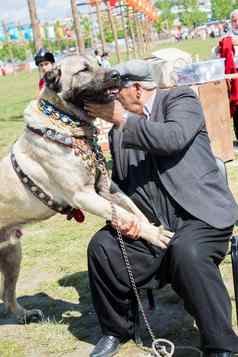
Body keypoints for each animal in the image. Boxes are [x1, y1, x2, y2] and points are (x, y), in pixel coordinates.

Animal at [0, 55, 169, 322]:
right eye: (83, 70)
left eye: (99, 63)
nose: (116, 75)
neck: (64, 123)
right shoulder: (85, 195)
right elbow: (127, 215)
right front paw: (153, 234)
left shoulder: (107, 189)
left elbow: (133, 211)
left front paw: (150, 230)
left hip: (12, 254)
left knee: (7, 294)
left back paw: (25, 314)